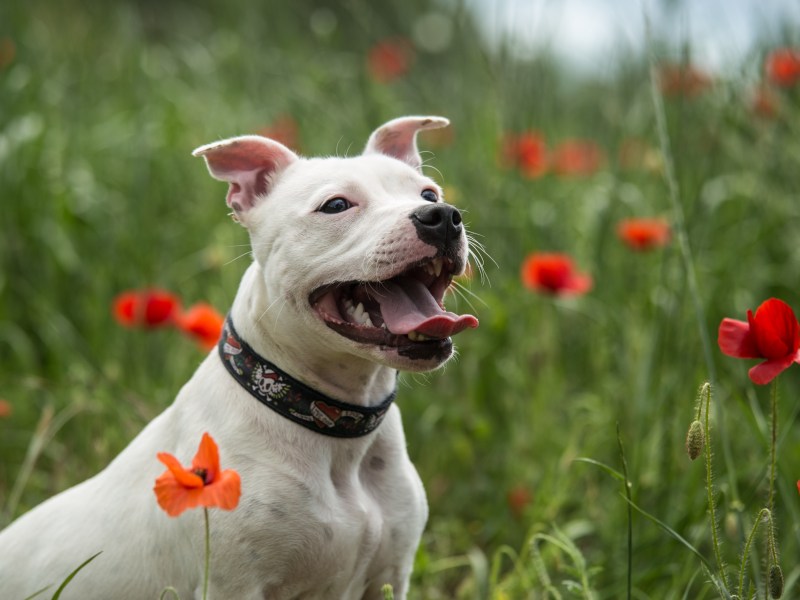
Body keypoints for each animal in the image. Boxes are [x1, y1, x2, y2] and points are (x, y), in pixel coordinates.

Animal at [0, 117, 476, 600]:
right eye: (336, 205)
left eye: (429, 194)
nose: (442, 217)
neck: (329, 422)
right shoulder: (235, 583)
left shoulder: (389, 576)